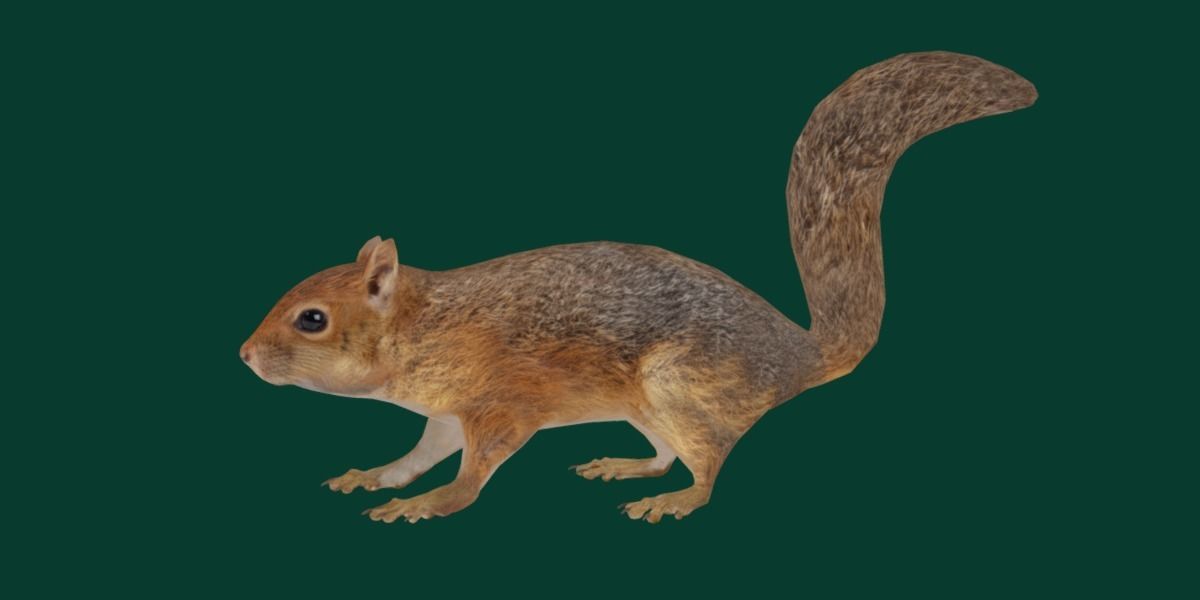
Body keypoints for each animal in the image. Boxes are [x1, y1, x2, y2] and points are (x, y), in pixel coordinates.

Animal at [241, 51, 1036, 524]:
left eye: (311, 319)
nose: (245, 355)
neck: (424, 325)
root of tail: (796, 356)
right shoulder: (444, 410)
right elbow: (418, 452)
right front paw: (373, 476)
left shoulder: (502, 398)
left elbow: (478, 463)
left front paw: (430, 503)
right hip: (646, 406)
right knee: (665, 449)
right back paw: (624, 465)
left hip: (682, 387)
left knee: (708, 464)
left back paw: (675, 500)